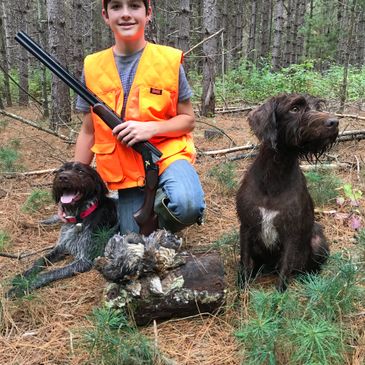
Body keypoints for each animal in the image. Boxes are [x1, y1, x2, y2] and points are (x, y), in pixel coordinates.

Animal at [7, 162, 116, 296]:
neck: (78, 217)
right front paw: (24, 275)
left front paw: (22, 287)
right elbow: (40, 259)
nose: (63, 177)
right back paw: (28, 223)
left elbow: (49, 273)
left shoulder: (84, 260)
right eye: (61, 170)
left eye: (80, 171)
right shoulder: (62, 245)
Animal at [236, 93, 338, 290]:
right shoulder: (246, 226)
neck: (275, 175)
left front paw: (279, 295)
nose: (334, 122)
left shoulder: (291, 233)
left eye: (318, 106)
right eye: (295, 108)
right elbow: (244, 261)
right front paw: (241, 290)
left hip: (317, 240)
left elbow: (285, 269)